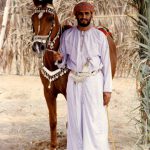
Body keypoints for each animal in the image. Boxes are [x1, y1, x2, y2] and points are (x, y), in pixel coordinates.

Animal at [30, 0, 117, 149]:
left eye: (50, 18)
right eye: (32, 19)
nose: (37, 46)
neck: (52, 63)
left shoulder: (68, 92)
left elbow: (69, 123)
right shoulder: (48, 92)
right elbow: (53, 121)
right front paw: (53, 145)